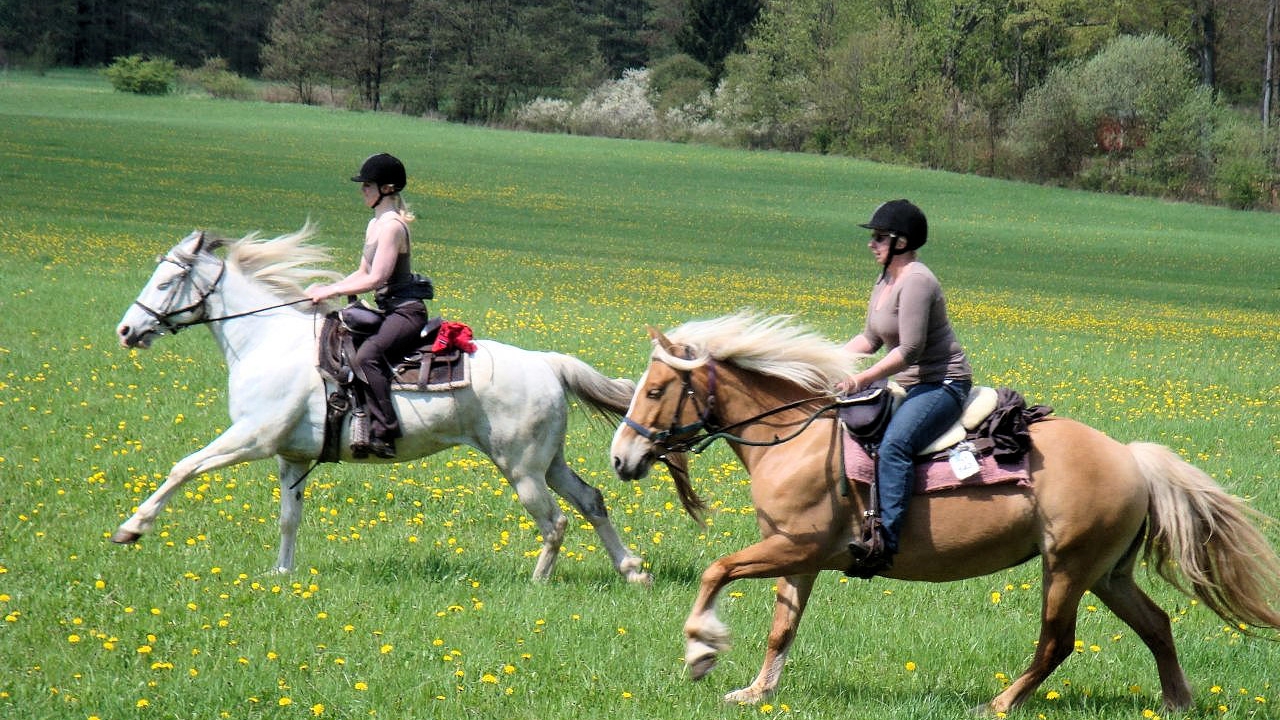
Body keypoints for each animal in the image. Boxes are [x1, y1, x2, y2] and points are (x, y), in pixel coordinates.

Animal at [112, 225, 650, 584]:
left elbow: (184, 467)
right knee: (591, 501)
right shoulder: (291, 456)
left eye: (166, 282)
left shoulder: (252, 438)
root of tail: (546, 363)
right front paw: (282, 573)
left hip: (520, 468)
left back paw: (539, 581)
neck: (266, 342)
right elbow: (289, 517)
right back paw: (632, 570)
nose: (126, 330)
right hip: (547, 462)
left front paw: (131, 528)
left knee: (555, 521)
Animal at [609, 312, 1280, 712]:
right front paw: (753, 692)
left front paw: (701, 651)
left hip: (1066, 568)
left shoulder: (796, 547)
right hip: (1107, 573)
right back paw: (1176, 701)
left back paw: (1001, 704)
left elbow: (715, 570)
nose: (621, 458)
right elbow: (782, 628)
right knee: (1156, 624)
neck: (792, 439)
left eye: (656, 390)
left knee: (1057, 642)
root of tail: (1133, 459)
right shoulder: (797, 557)